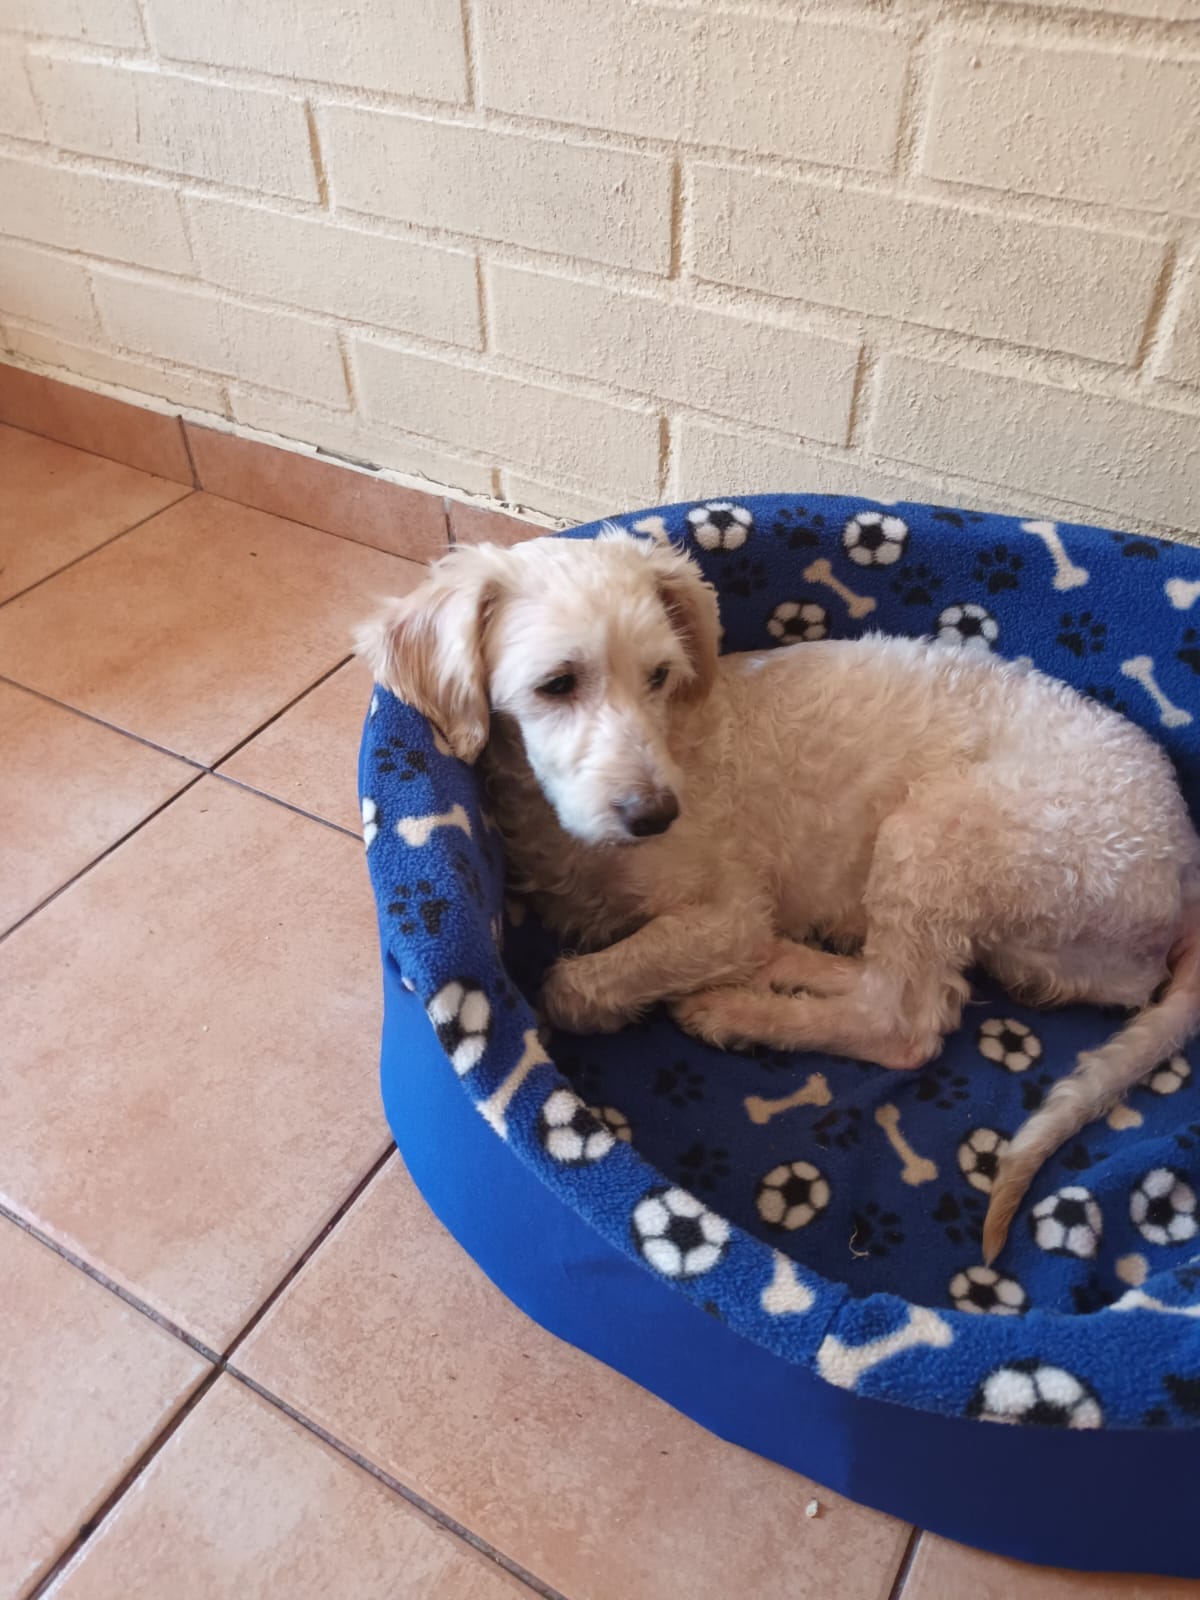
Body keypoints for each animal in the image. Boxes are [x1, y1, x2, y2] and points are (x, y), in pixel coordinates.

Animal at [356, 524, 1200, 1260]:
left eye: (659, 676)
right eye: (556, 685)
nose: (658, 815)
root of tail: (1184, 864)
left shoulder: (727, 912)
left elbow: (573, 986)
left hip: (940, 830)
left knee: (906, 1021)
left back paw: (737, 1009)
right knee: (892, 979)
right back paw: (785, 966)